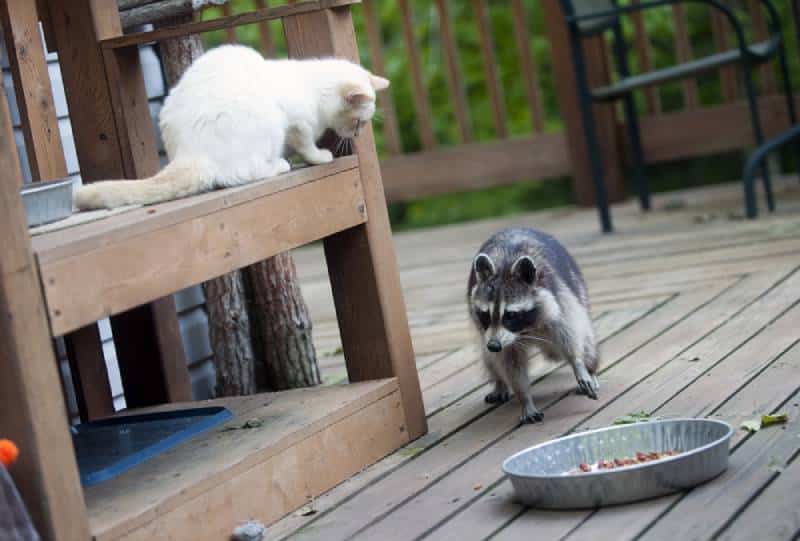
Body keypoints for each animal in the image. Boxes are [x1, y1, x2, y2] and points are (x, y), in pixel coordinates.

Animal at [74, 44, 388, 209]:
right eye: (359, 122)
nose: (358, 133)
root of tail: (190, 152)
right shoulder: (297, 125)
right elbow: (307, 145)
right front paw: (321, 157)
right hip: (269, 121)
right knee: (239, 175)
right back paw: (280, 165)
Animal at [466, 226, 596, 424]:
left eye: (510, 315)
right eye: (485, 314)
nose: (494, 345)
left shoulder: (558, 300)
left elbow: (568, 334)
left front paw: (578, 363)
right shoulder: (493, 335)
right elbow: (510, 363)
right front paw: (524, 397)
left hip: (577, 286)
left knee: (585, 339)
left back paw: (590, 367)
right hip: (482, 336)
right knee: (489, 358)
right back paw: (499, 382)